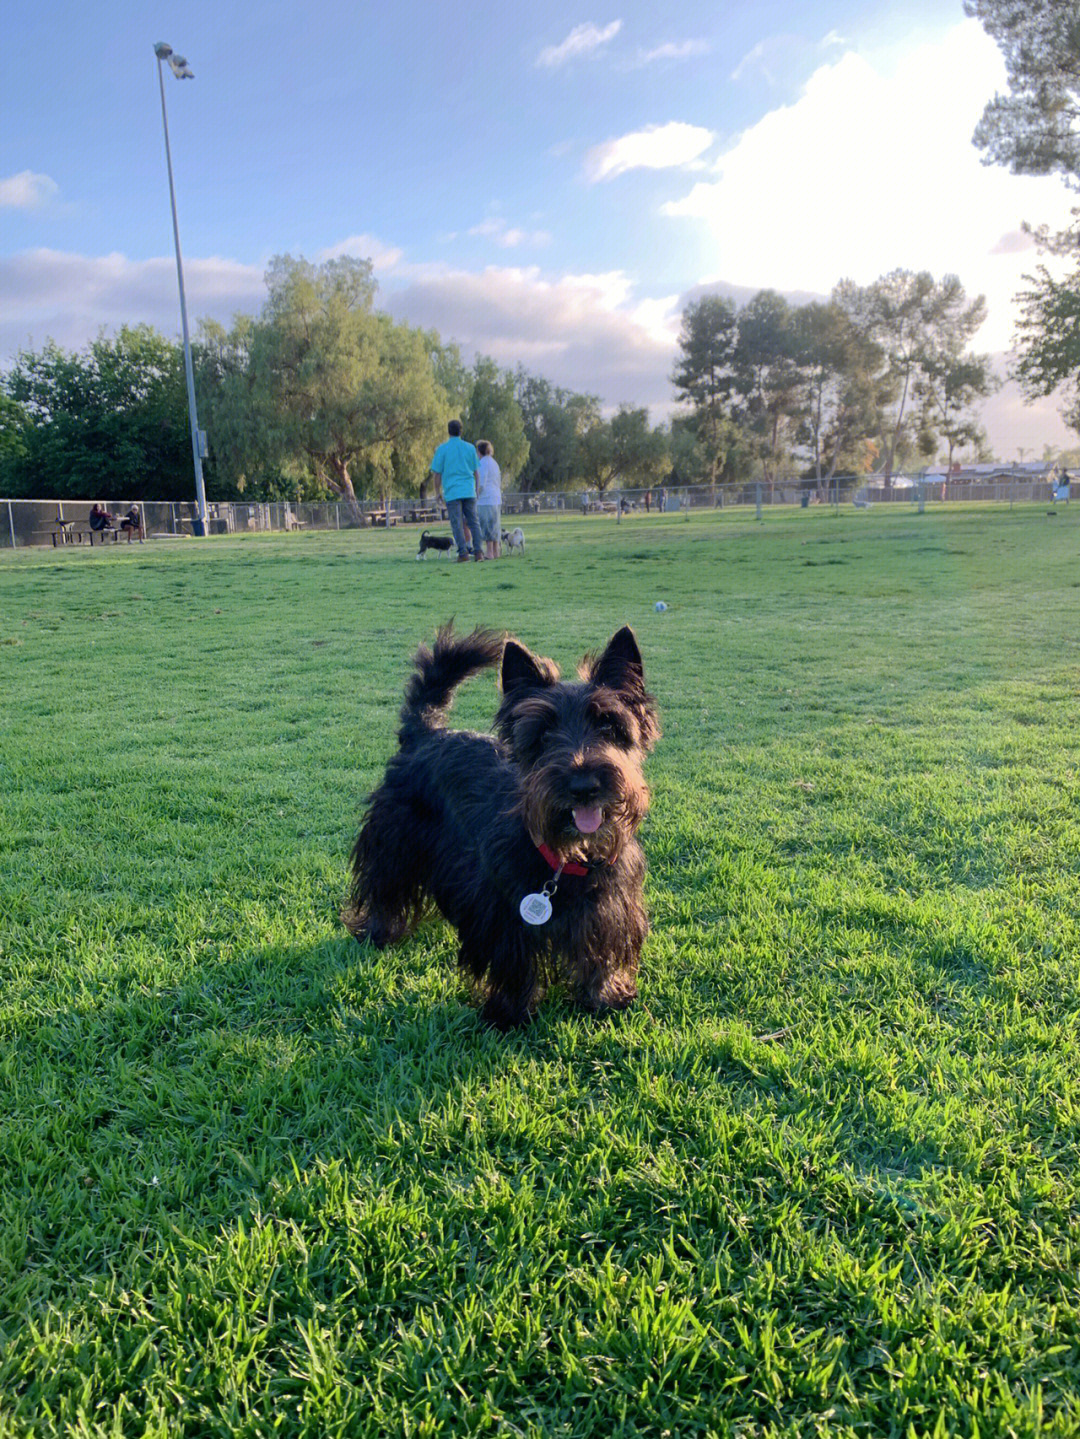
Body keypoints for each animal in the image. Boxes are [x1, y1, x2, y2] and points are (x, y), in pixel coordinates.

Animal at [348, 624, 658, 1030]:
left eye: (608, 724)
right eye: (543, 733)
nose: (583, 786)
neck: (564, 857)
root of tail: (425, 734)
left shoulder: (608, 907)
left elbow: (600, 953)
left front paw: (604, 996)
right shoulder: (502, 915)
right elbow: (514, 965)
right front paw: (509, 1015)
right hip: (395, 843)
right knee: (384, 888)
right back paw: (379, 931)